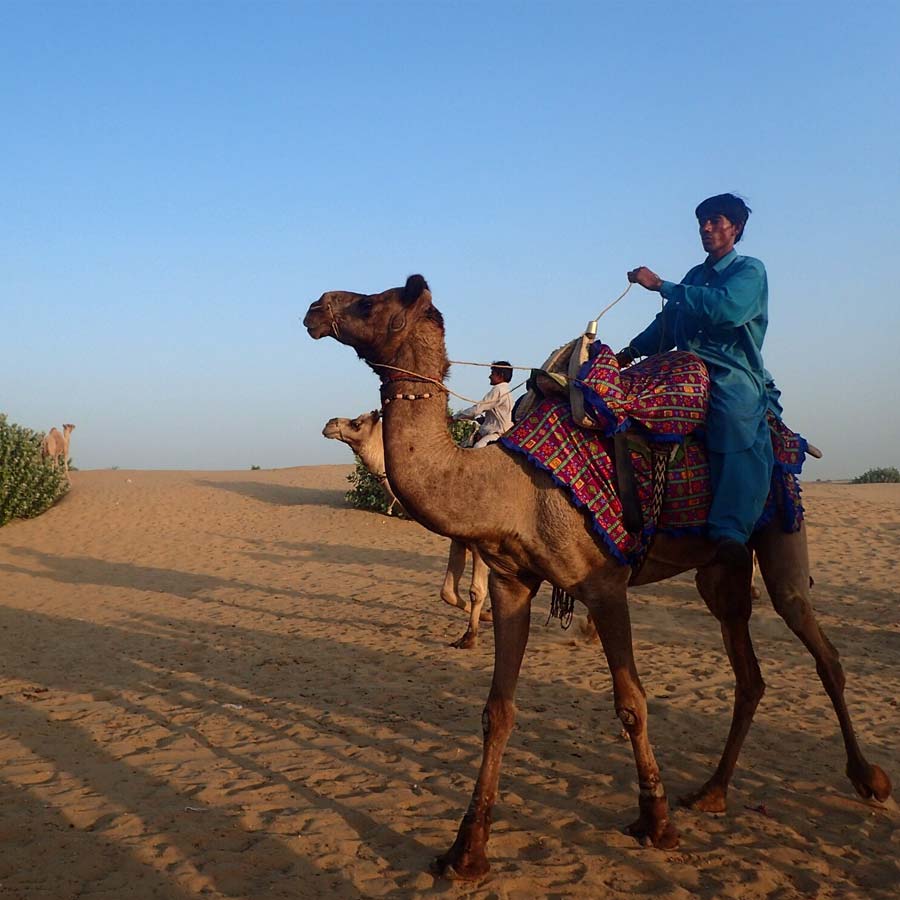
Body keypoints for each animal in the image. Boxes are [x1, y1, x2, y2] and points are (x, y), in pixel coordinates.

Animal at [322, 410, 491, 648]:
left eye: (356, 423)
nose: (329, 424)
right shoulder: (459, 540)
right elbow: (448, 592)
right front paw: (487, 615)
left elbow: (477, 590)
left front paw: (470, 637)